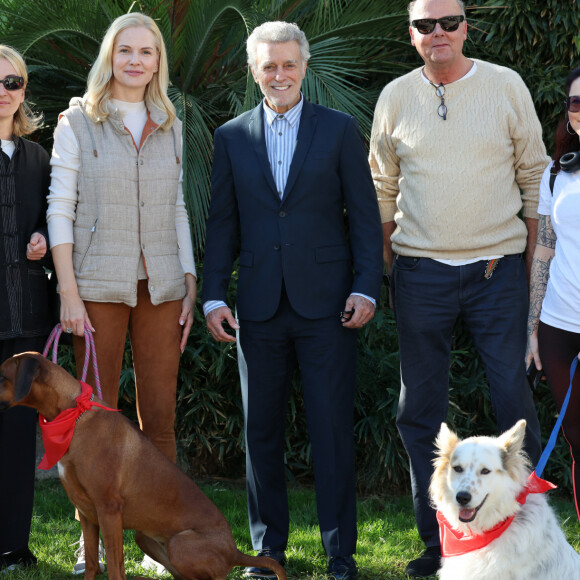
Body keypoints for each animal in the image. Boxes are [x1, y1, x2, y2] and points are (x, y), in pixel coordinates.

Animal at [0, 354, 286, 580]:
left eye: (1, 376)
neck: (73, 417)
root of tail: (235, 551)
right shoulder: (87, 514)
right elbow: (92, 564)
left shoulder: (109, 511)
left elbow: (115, 566)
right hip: (145, 537)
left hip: (181, 543)